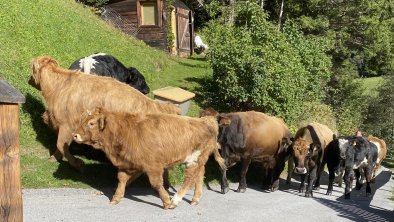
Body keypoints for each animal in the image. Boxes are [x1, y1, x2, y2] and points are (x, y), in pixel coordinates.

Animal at [28, 56, 181, 171]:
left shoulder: (67, 125)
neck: (58, 86)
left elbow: (61, 144)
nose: (28, 79)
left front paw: (78, 164)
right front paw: (54, 158)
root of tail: (151, 103)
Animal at [71, 108, 225, 209]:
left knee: (190, 177)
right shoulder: (127, 164)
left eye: (91, 123)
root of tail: (206, 121)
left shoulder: (153, 166)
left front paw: (166, 202)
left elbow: (156, 184)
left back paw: (176, 199)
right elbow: (122, 179)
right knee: (199, 174)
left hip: (194, 158)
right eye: (83, 120)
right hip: (199, 159)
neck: (126, 132)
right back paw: (195, 199)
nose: (75, 134)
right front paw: (116, 197)